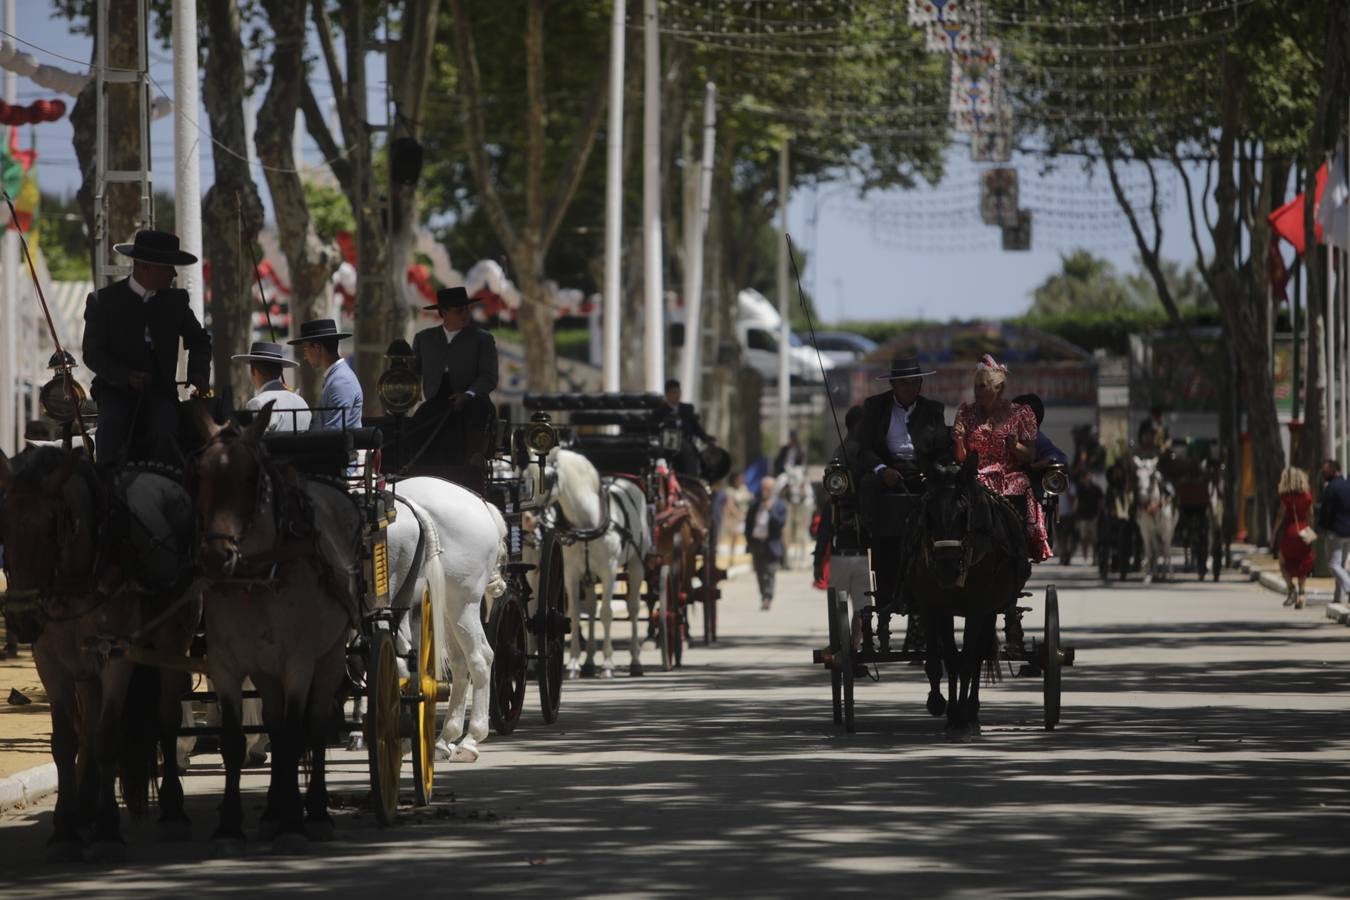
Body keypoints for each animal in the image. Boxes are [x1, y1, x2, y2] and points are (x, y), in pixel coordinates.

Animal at [526, 447, 653, 680]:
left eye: (547, 479)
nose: (527, 519)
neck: (587, 523)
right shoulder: (571, 574)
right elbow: (575, 615)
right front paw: (574, 663)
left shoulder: (609, 571)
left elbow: (607, 613)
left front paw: (608, 664)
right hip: (589, 576)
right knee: (592, 607)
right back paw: (589, 662)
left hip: (636, 565)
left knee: (633, 608)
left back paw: (635, 661)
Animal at [907, 450, 1031, 739]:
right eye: (928, 512)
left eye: (965, 513)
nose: (947, 570)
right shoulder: (935, 606)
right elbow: (947, 660)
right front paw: (945, 709)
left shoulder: (978, 607)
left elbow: (967, 661)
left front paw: (963, 720)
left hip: (992, 609)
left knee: (979, 655)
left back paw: (972, 713)